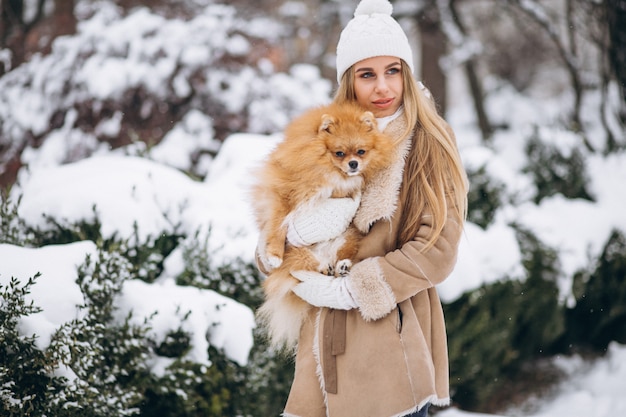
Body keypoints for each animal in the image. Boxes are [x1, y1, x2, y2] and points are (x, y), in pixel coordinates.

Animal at [250, 102, 392, 350]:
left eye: (361, 152)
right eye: (339, 153)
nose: (353, 164)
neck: (325, 168)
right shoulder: (281, 194)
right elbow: (278, 224)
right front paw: (274, 254)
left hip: (346, 237)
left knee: (341, 256)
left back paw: (341, 266)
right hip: (301, 251)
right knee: (303, 262)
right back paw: (322, 265)